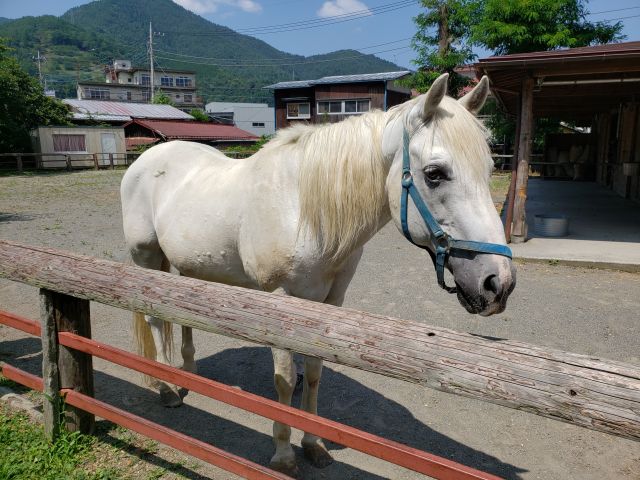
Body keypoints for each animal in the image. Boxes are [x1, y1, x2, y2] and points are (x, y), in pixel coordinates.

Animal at [122, 75, 516, 476]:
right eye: (435, 174)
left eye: (489, 169)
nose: (498, 283)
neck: (302, 208)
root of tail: (147, 159)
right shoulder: (278, 300)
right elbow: (283, 380)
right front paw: (283, 453)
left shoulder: (329, 302)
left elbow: (313, 373)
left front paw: (313, 444)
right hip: (146, 258)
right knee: (155, 319)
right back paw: (167, 388)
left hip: (187, 268)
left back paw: (187, 372)